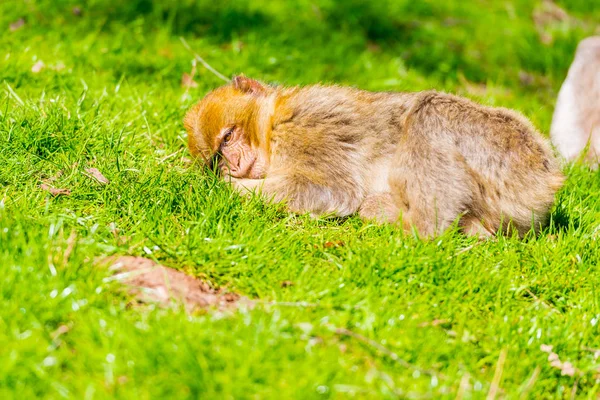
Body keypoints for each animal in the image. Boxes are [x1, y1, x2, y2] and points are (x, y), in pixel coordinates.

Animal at [185, 76, 564, 238]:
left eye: (229, 136)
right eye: (217, 157)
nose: (233, 164)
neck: (271, 124)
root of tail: (549, 174)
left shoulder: (304, 124)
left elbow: (335, 191)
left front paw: (226, 187)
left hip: (507, 153)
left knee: (430, 111)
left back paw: (417, 227)